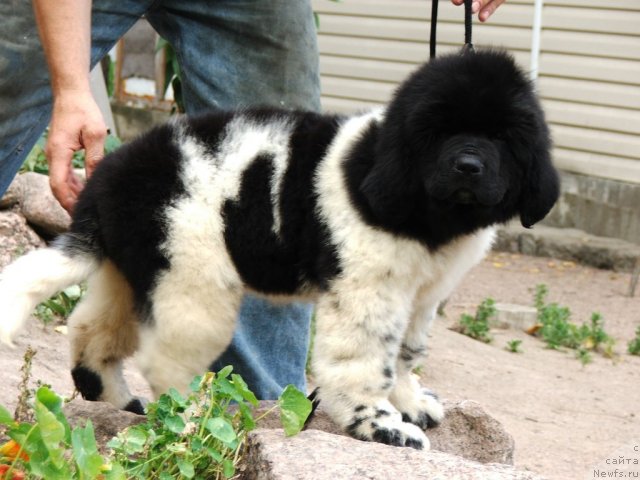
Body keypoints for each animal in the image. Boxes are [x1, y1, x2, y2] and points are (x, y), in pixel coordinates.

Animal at [1, 49, 556, 450]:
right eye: (438, 133)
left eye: (503, 138)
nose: (468, 166)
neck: (427, 214)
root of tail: (105, 180)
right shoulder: (367, 288)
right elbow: (367, 359)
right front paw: (382, 427)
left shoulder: (422, 294)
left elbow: (404, 352)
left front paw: (410, 402)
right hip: (190, 281)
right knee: (166, 364)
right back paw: (189, 422)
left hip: (136, 266)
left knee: (91, 329)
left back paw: (115, 399)